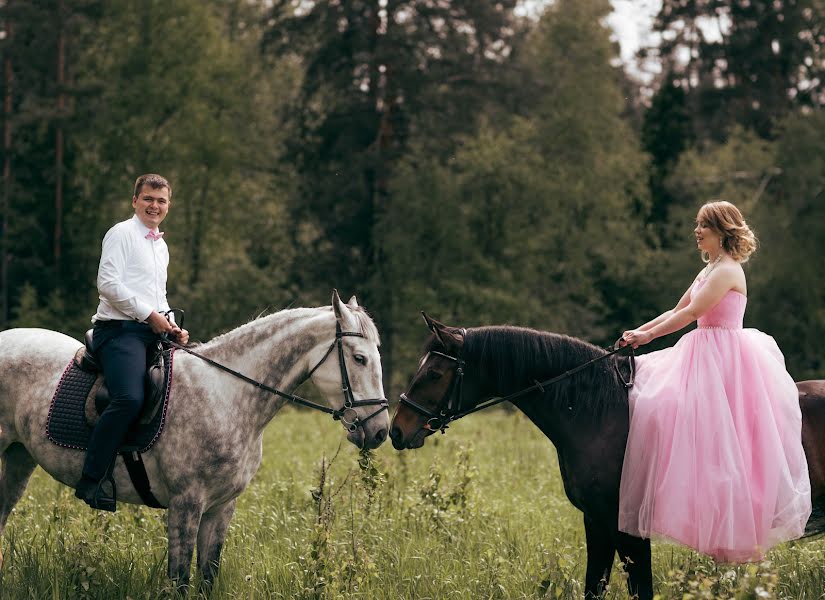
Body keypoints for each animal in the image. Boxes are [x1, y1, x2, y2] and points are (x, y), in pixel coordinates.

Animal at [0, 292, 390, 588]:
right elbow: (181, 580)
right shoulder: (186, 504)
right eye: (359, 358)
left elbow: (207, 577)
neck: (225, 394)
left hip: (19, 458)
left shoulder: (221, 508)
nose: (380, 431)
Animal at [390, 314, 824, 600]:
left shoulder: (627, 524)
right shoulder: (597, 520)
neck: (599, 410)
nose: (397, 430)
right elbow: (593, 587)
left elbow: (640, 589)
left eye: (434, 374)